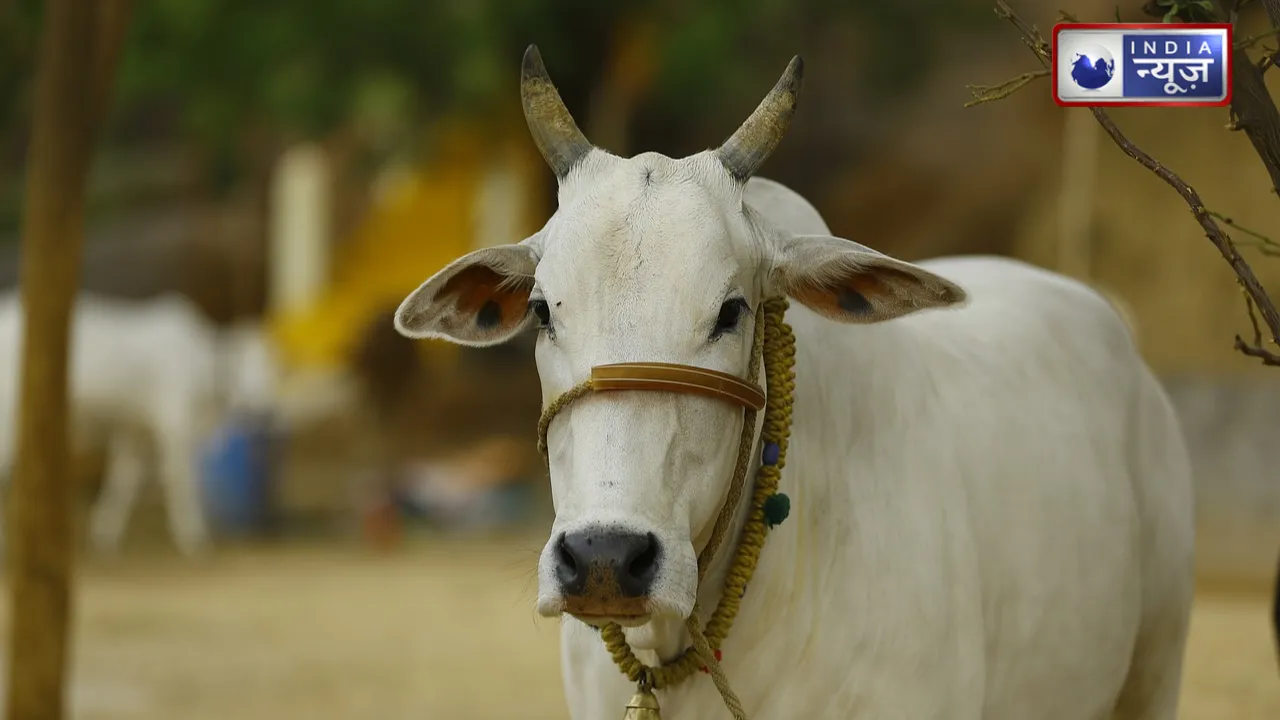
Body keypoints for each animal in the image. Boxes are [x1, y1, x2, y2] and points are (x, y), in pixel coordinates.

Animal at [0, 289, 280, 556]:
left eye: (274, 370)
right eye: (239, 367)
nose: (266, 410)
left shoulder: (135, 430)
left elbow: (124, 480)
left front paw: (105, 534)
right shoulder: (176, 429)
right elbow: (181, 482)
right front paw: (194, 538)